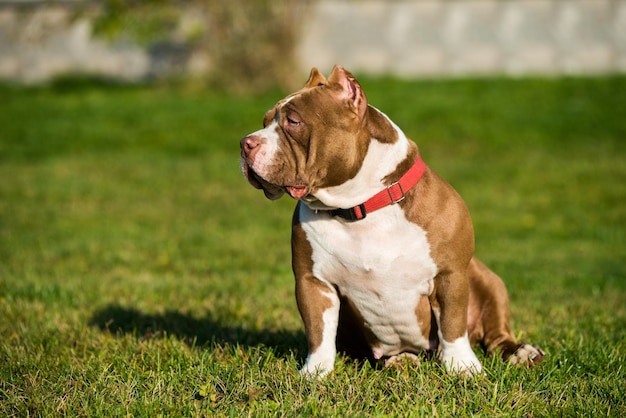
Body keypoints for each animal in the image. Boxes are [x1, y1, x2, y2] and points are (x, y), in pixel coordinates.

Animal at [239, 67, 540, 378]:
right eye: (265, 121)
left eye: (293, 121)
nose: (245, 143)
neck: (359, 207)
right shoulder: (313, 281)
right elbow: (318, 332)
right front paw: (315, 373)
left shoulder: (450, 275)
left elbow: (453, 324)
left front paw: (461, 367)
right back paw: (400, 359)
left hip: (488, 280)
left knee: (494, 335)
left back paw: (520, 353)